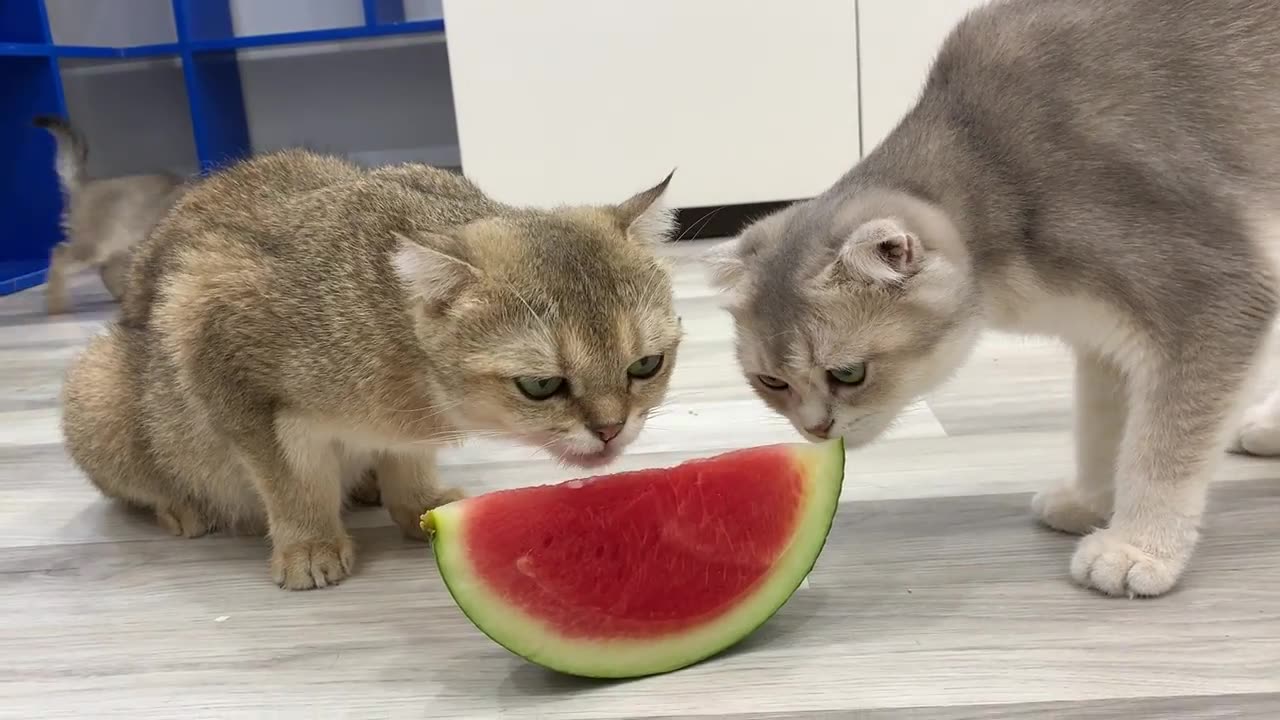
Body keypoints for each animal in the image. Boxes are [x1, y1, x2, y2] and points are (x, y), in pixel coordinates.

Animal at [35, 114, 186, 311]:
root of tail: (87, 183)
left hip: (118, 247)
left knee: (105, 271)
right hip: (93, 246)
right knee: (59, 255)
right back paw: (56, 304)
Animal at [62, 149, 680, 589]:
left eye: (646, 365)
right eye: (541, 385)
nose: (611, 430)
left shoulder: (409, 430)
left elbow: (408, 459)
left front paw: (418, 503)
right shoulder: (216, 344)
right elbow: (288, 481)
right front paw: (308, 543)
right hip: (99, 389)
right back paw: (184, 506)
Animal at [706, 0, 1280, 594]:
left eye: (849, 374)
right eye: (771, 382)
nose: (815, 429)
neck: (996, 168)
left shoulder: (1212, 296)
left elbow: (1162, 447)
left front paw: (1136, 546)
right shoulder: (1104, 339)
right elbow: (1102, 428)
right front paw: (1090, 501)